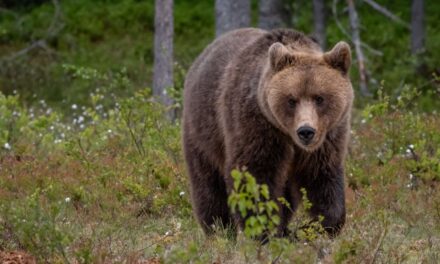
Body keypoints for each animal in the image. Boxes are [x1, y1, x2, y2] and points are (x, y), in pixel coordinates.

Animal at [182, 28, 354, 237]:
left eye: (320, 98)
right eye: (291, 100)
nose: (306, 131)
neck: (288, 135)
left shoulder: (328, 137)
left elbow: (321, 176)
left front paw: (317, 227)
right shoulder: (257, 125)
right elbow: (254, 174)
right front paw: (263, 229)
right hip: (203, 130)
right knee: (208, 184)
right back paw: (219, 229)